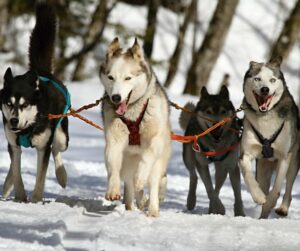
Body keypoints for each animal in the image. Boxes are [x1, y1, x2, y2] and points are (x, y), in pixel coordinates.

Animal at [0, 2, 68, 201]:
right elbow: (16, 170)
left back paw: (62, 176)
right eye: (9, 103)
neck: (27, 128)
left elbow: (41, 176)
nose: (14, 120)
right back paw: (7, 186)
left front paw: (36, 200)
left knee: (56, 149)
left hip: (62, 136)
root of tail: (41, 71)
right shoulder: (13, 143)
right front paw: (20, 196)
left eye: (25, 104)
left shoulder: (43, 147)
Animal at [99, 38, 171, 217]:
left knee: (153, 183)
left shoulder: (155, 142)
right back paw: (131, 206)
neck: (132, 112)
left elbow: (147, 159)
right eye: (110, 77)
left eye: (128, 78)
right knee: (130, 186)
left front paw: (140, 177)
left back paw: (152, 210)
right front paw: (113, 190)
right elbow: (113, 165)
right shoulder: (114, 140)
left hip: (158, 163)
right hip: (127, 163)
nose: (116, 97)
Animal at [179, 84, 245, 216]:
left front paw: (240, 213)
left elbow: (237, 194)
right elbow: (209, 189)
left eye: (223, 111)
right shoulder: (202, 164)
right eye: (208, 111)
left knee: (218, 186)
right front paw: (219, 208)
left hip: (221, 168)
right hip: (189, 158)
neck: (215, 146)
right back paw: (191, 201)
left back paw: (211, 209)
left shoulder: (232, 166)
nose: (216, 125)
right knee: (193, 176)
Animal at [238, 56, 298, 218]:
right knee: (263, 183)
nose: (265, 89)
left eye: (272, 80)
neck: (265, 117)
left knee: (288, 186)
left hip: (294, 161)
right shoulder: (246, 154)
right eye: (257, 79)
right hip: (263, 167)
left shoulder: (284, 156)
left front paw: (271, 201)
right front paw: (258, 196)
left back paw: (282, 208)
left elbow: (276, 187)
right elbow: (248, 175)